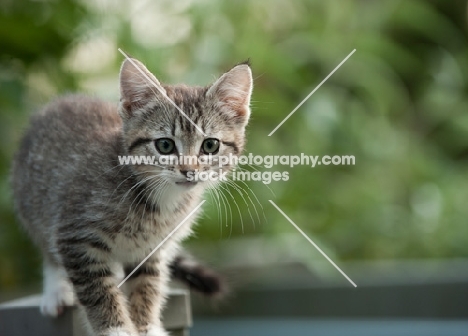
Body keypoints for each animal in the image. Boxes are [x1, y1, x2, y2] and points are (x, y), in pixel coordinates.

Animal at [11, 58, 252, 336]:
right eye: (165, 145)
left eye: (210, 145)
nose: (189, 170)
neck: (158, 199)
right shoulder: (74, 234)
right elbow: (98, 291)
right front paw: (116, 329)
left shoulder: (152, 249)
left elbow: (147, 286)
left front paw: (147, 326)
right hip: (33, 203)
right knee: (48, 250)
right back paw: (56, 291)